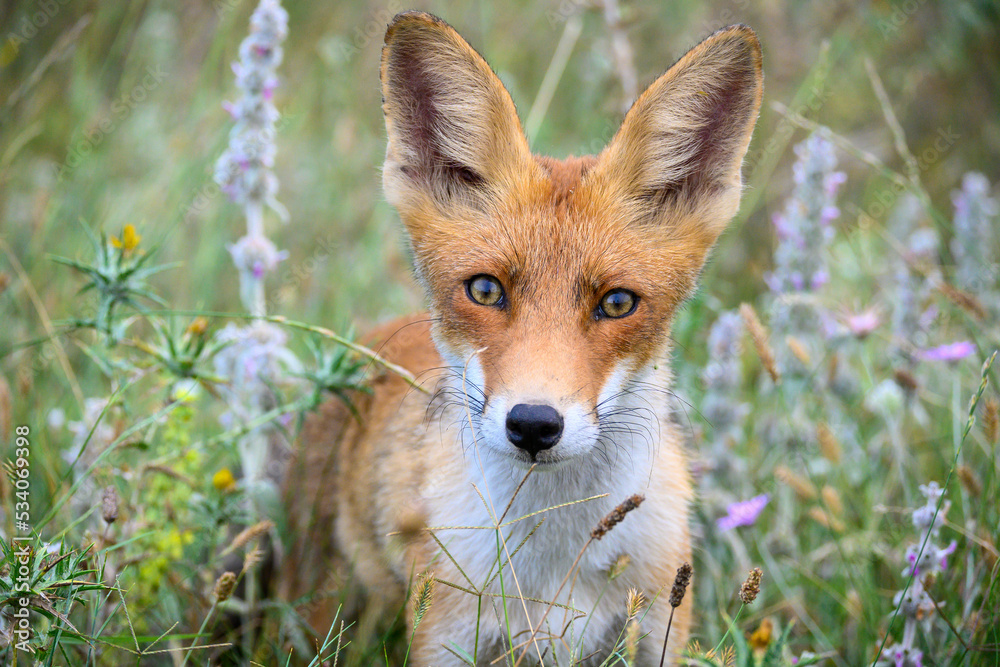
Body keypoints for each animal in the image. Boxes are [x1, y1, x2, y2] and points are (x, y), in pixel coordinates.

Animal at [284, 11, 764, 667]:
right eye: (486, 290)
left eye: (617, 303)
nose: (534, 424)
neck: (552, 568)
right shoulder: (444, 637)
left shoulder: (660, 629)